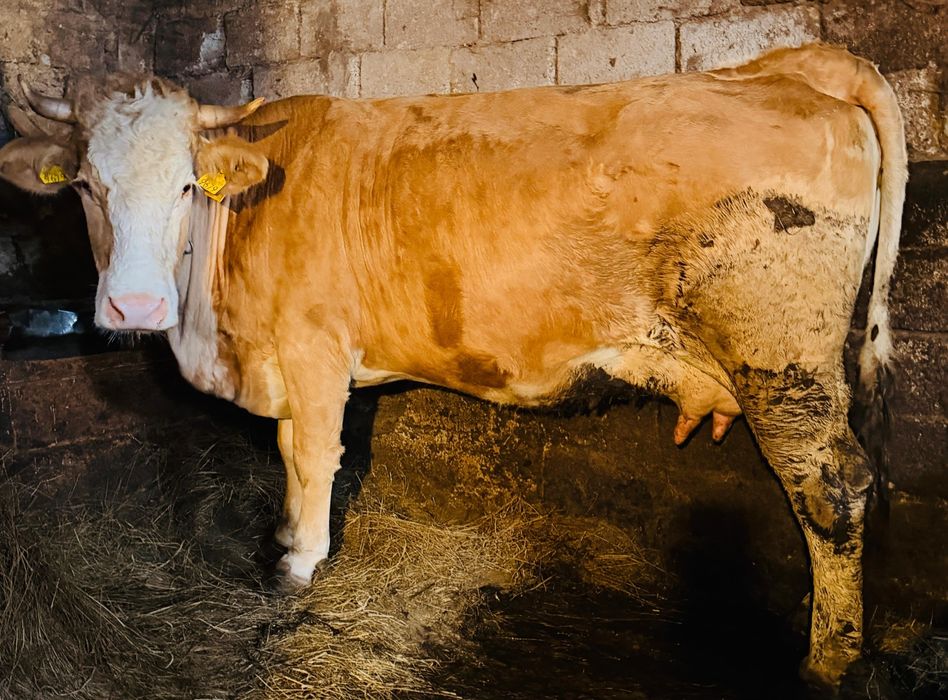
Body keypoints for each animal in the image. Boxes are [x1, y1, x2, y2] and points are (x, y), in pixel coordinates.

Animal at [0, 43, 906, 687]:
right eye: (84, 185)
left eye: (189, 186)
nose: (135, 308)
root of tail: (783, 64)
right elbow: (290, 454)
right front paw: (286, 537)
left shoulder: (314, 350)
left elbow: (312, 457)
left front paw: (298, 566)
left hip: (783, 357)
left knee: (831, 488)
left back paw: (827, 658)